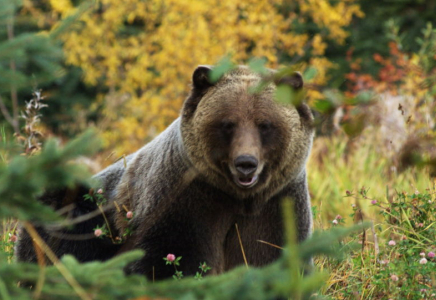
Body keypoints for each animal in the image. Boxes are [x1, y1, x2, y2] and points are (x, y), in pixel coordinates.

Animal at [15, 64, 316, 280]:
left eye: (264, 124)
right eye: (228, 123)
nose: (246, 163)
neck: (236, 198)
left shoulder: (276, 206)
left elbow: (267, 257)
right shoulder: (185, 200)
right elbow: (168, 260)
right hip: (82, 213)